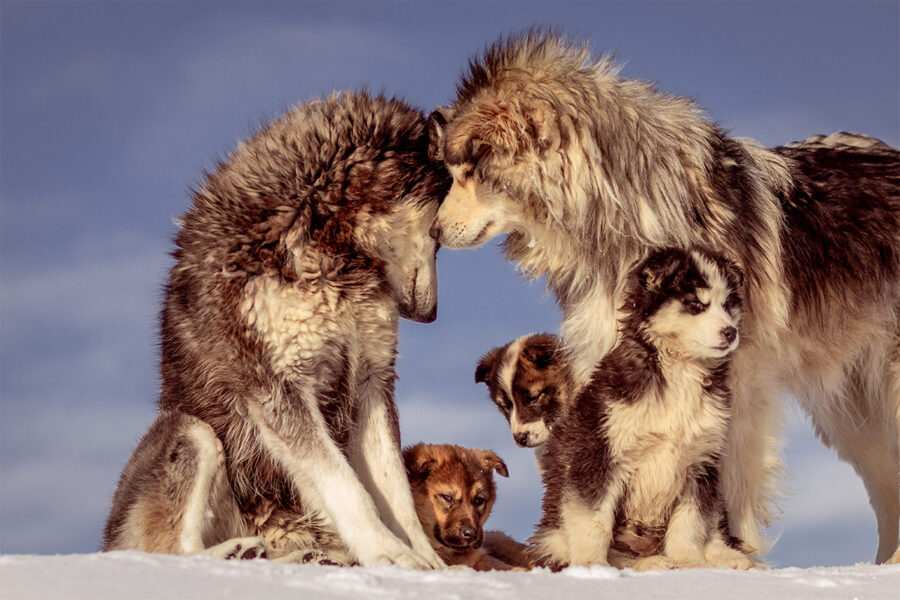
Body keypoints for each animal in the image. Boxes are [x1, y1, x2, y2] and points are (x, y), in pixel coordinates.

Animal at [103, 90, 450, 568]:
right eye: (439, 236)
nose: (429, 315)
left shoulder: (372, 381)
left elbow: (396, 495)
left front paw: (432, 564)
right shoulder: (277, 386)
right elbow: (349, 489)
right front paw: (389, 555)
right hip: (191, 430)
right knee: (172, 550)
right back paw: (238, 553)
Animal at [532, 248, 756, 572]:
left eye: (727, 305)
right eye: (695, 304)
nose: (730, 332)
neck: (680, 371)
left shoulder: (701, 462)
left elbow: (691, 523)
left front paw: (690, 563)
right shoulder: (598, 453)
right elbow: (593, 520)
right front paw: (591, 565)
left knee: (714, 524)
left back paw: (725, 557)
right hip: (553, 532)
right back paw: (649, 563)